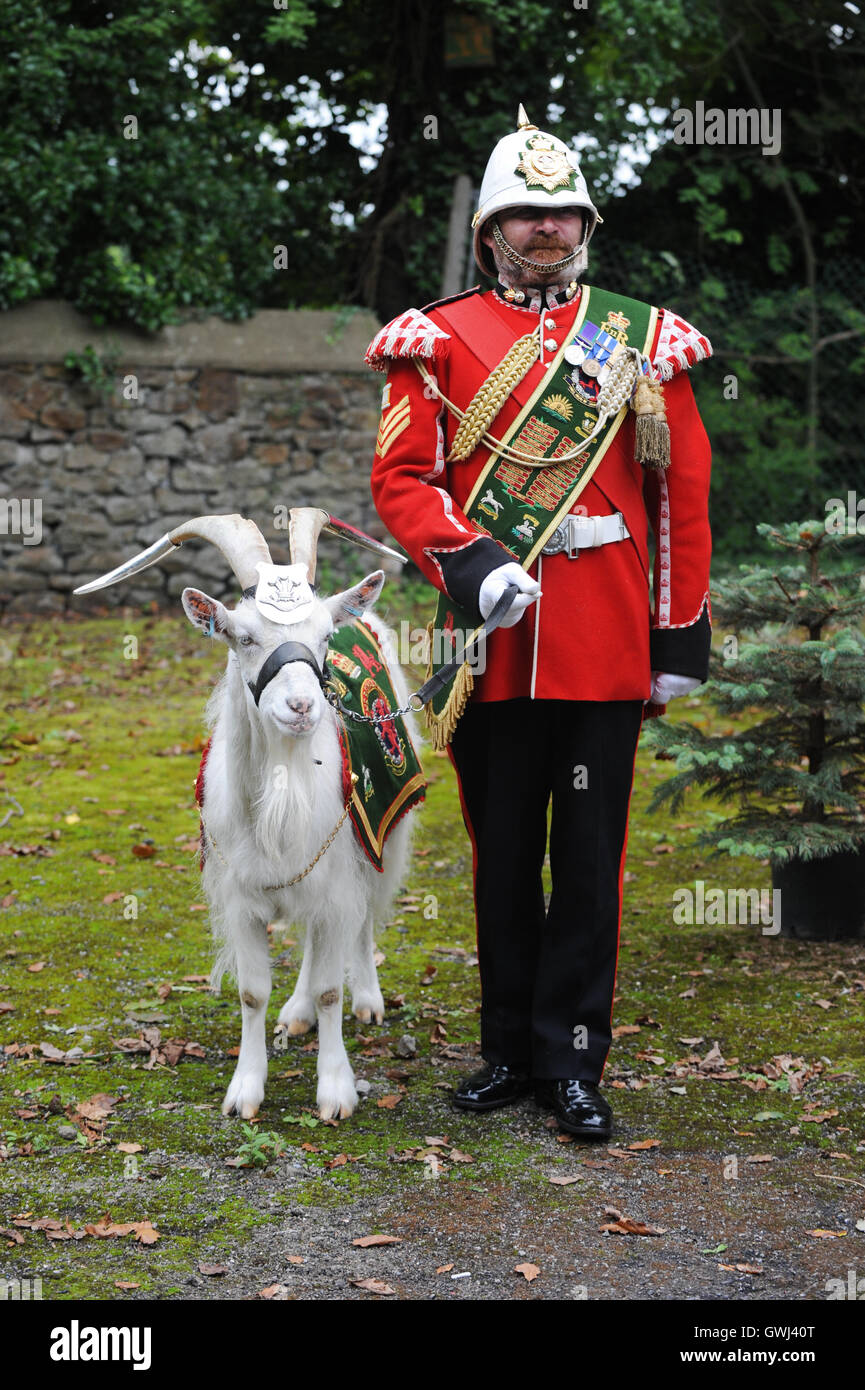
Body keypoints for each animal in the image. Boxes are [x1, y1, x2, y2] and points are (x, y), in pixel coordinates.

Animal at [76, 511, 422, 1117]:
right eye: (243, 637)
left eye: (324, 638)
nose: (303, 706)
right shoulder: (241, 898)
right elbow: (252, 991)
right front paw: (245, 1090)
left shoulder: (337, 877)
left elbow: (332, 981)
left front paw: (335, 1090)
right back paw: (298, 1011)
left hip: (383, 831)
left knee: (362, 921)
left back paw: (367, 999)